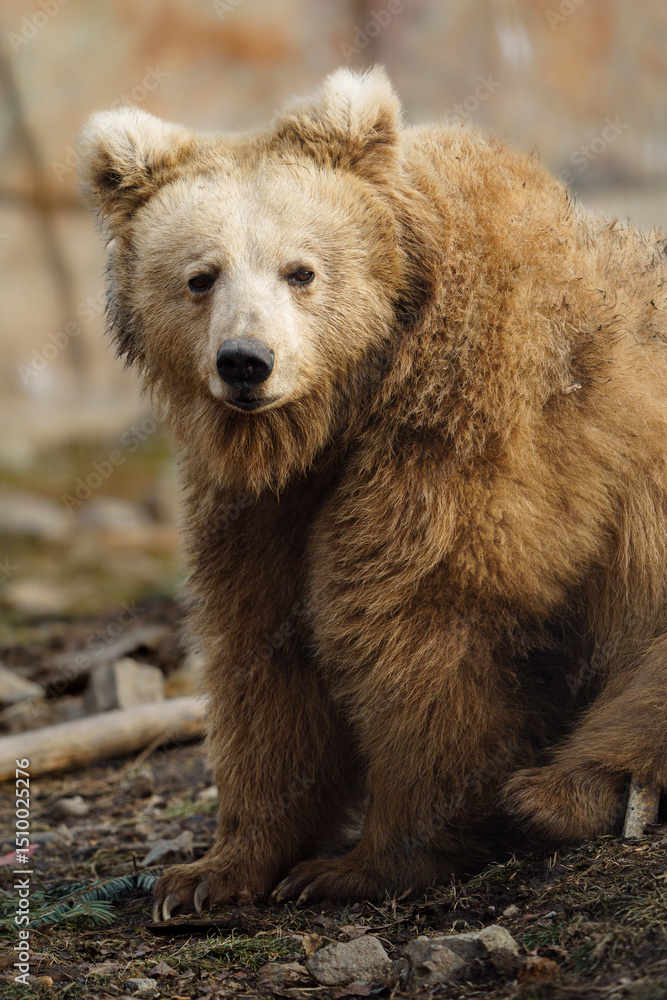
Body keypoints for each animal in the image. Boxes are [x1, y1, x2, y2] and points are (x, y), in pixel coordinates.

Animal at [79, 67, 667, 918]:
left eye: (300, 269)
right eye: (200, 276)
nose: (245, 362)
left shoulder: (474, 420)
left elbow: (416, 618)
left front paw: (362, 865)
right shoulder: (267, 503)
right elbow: (262, 646)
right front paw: (208, 873)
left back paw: (558, 794)